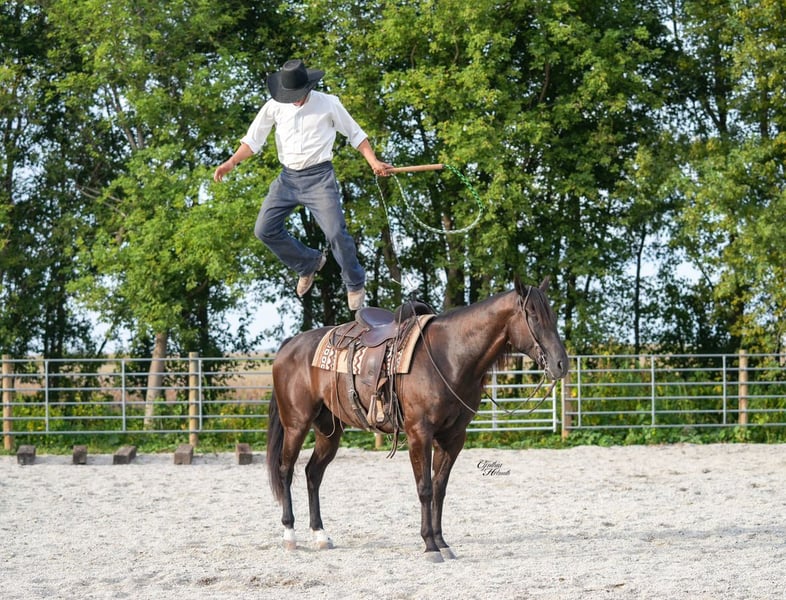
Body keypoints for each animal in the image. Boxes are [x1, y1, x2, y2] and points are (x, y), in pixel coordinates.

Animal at [266, 276, 569, 562]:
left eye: (553, 315)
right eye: (532, 315)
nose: (561, 364)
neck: (449, 356)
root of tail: (290, 345)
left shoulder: (453, 437)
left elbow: (439, 489)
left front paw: (443, 543)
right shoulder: (419, 434)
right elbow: (424, 488)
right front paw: (430, 546)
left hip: (329, 430)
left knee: (313, 473)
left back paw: (320, 535)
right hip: (296, 424)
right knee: (286, 470)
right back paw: (289, 534)